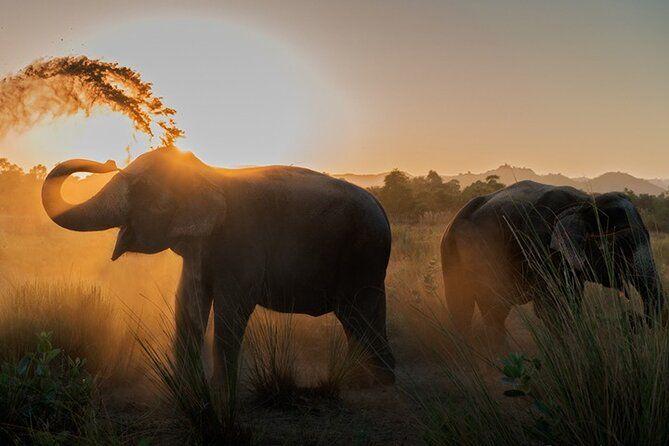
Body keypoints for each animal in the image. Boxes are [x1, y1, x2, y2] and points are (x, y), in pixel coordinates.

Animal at [41, 146, 395, 385]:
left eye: (139, 188)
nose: (108, 163)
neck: (206, 173)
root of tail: (382, 209)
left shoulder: (242, 242)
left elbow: (232, 307)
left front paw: (220, 391)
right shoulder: (200, 250)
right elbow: (187, 301)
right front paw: (185, 387)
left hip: (364, 254)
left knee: (360, 313)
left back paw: (373, 383)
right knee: (356, 318)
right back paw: (362, 378)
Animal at [440, 180, 665, 338]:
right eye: (622, 247)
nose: (631, 317)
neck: (585, 202)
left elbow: (570, 301)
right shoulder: (539, 247)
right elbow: (551, 307)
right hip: (461, 253)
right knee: (475, 307)